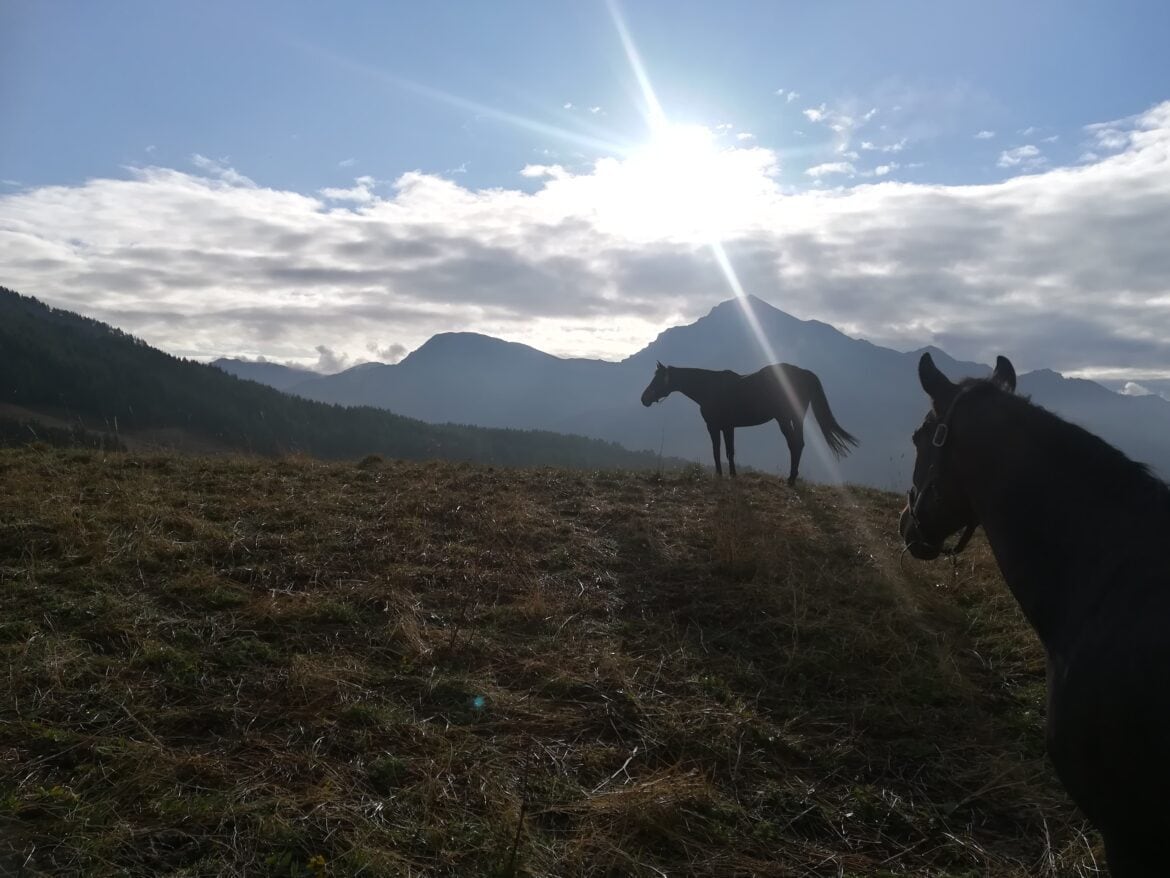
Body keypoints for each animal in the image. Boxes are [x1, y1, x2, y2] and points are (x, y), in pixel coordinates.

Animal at [640, 361, 857, 485]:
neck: (709, 388)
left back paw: (791, 478)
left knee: (795, 443)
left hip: (785, 418)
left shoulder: (714, 426)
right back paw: (792, 477)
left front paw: (720, 475)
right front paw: (732, 475)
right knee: (798, 443)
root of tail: (803, 373)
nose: (644, 399)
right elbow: (729, 451)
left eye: (657, 379)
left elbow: (717, 450)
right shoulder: (728, 427)